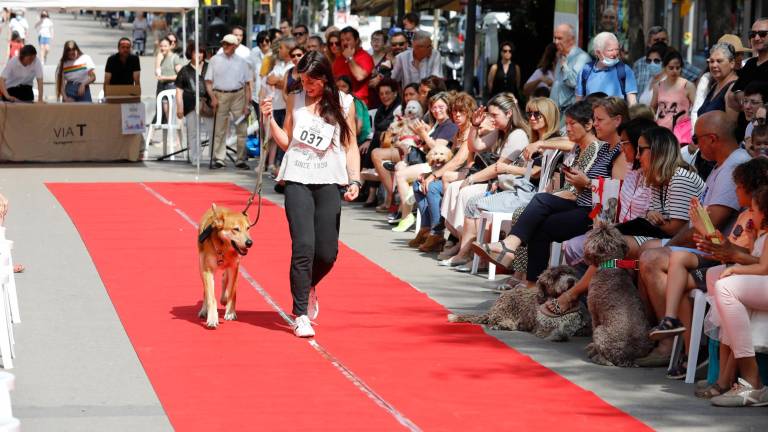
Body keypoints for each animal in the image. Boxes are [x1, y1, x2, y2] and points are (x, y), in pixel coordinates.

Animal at [584, 221, 656, 366]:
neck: (611, 265)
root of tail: (629, 357)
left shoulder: (594, 313)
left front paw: (592, 348)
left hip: (601, 332)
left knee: (608, 360)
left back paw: (598, 357)